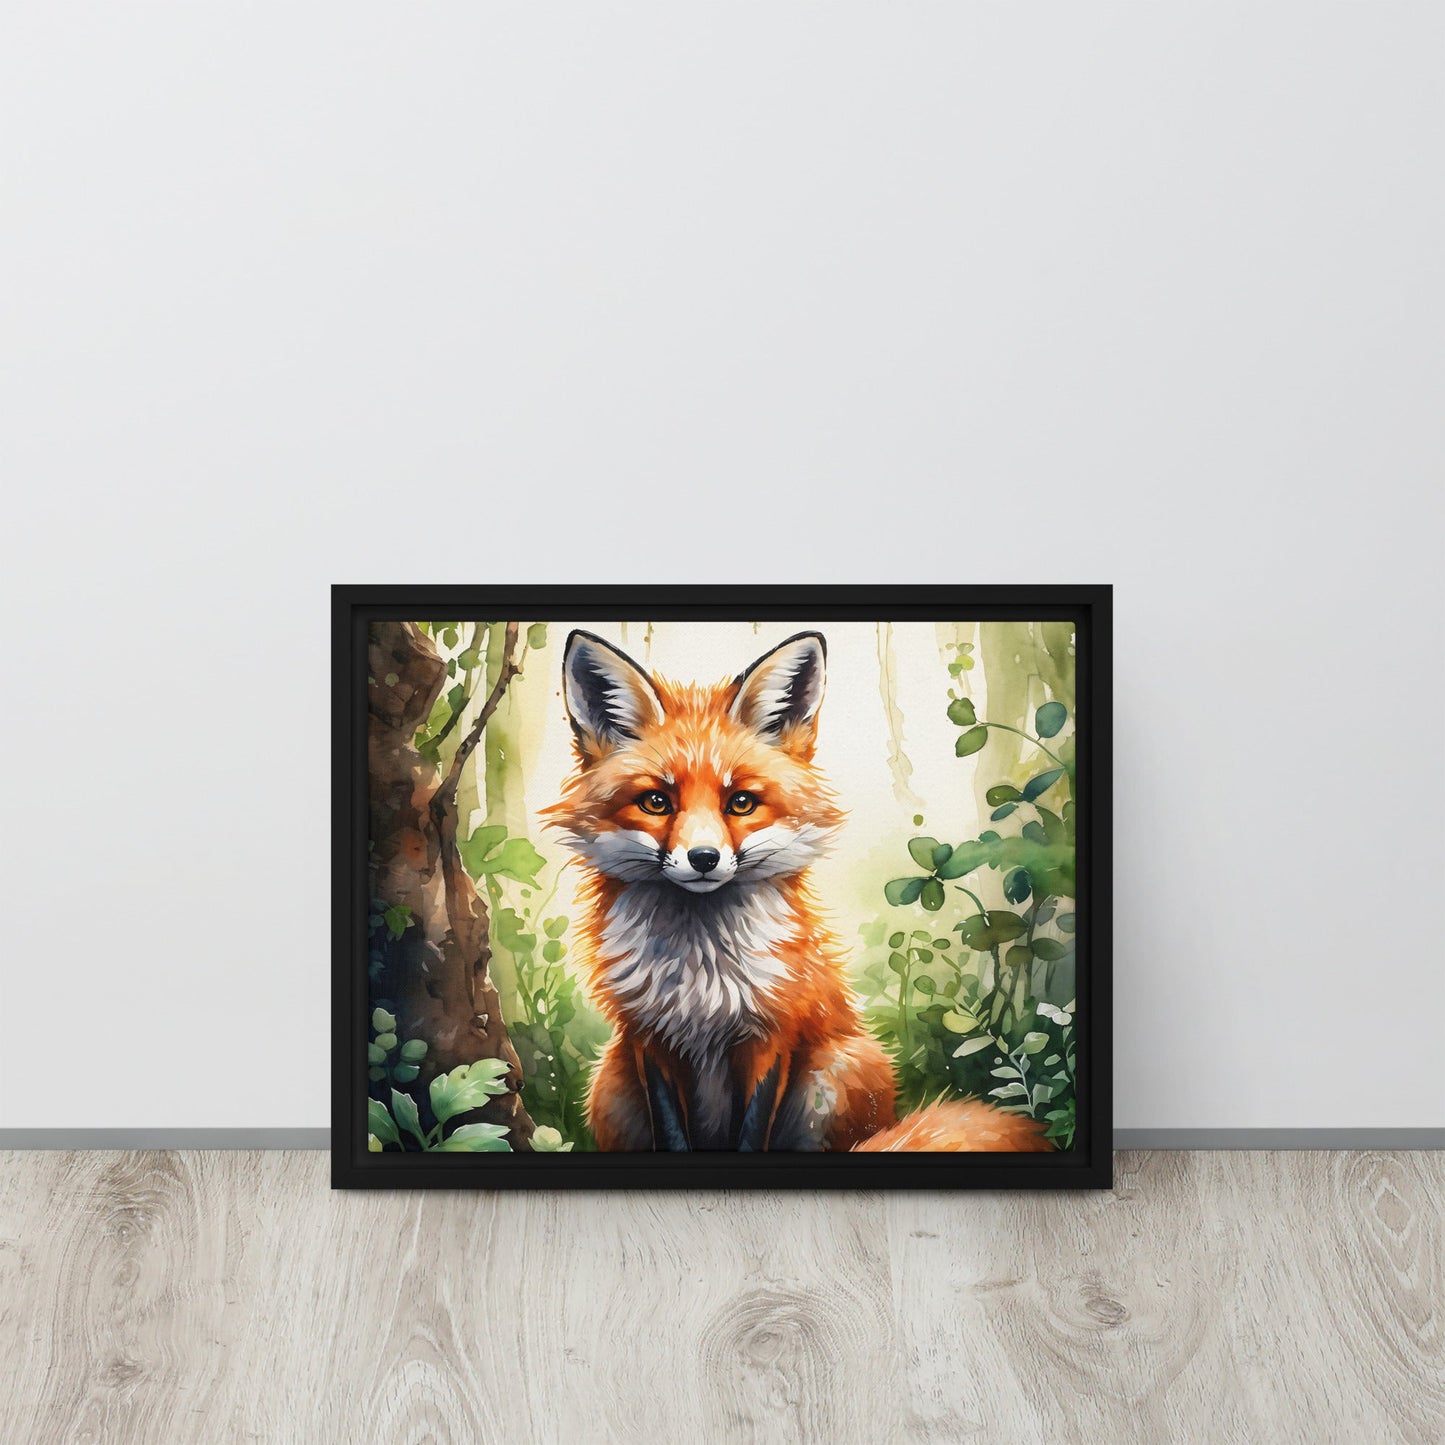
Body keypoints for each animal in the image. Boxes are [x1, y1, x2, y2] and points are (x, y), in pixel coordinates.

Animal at [543, 628, 1050, 1153]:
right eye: (657, 801)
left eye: (741, 802)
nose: (703, 858)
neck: (701, 978)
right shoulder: (649, 1040)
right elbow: (671, 1132)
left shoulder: (773, 1036)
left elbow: (752, 1133)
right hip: (610, 1081)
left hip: (836, 1072)